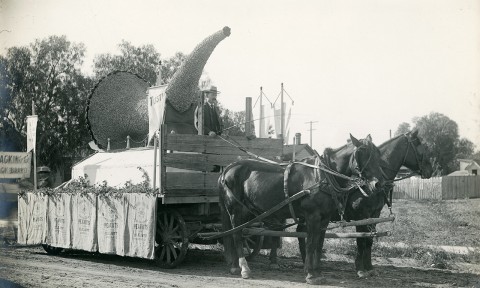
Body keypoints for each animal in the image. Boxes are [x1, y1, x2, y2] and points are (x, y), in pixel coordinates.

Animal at [219, 134, 384, 284]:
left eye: (378, 154)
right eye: (362, 152)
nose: (378, 184)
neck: (321, 176)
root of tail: (228, 168)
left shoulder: (324, 219)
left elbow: (318, 245)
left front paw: (317, 272)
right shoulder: (312, 216)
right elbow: (310, 243)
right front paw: (310, 274)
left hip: (246, 211)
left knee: (235, 234)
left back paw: (234, 266)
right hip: (236, 210)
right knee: (237, 236)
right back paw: (244, 268)